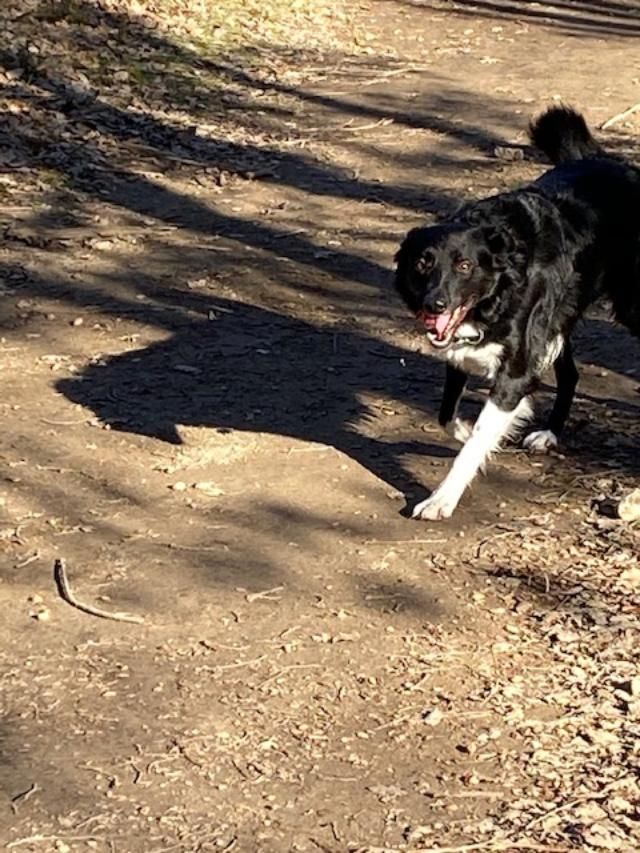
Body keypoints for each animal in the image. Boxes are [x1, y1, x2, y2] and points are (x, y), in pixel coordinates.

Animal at [396, 106, 640, 520]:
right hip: (558, 323)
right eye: (422, 263)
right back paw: (549, 433)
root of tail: (609, 161)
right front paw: (469, 429)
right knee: (570, 374)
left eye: (464, 266)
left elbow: (475, 442)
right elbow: (448, 416)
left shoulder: (516, 368)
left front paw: (442, 498)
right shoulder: (463, 354)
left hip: (629, 305)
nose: (435, 305)